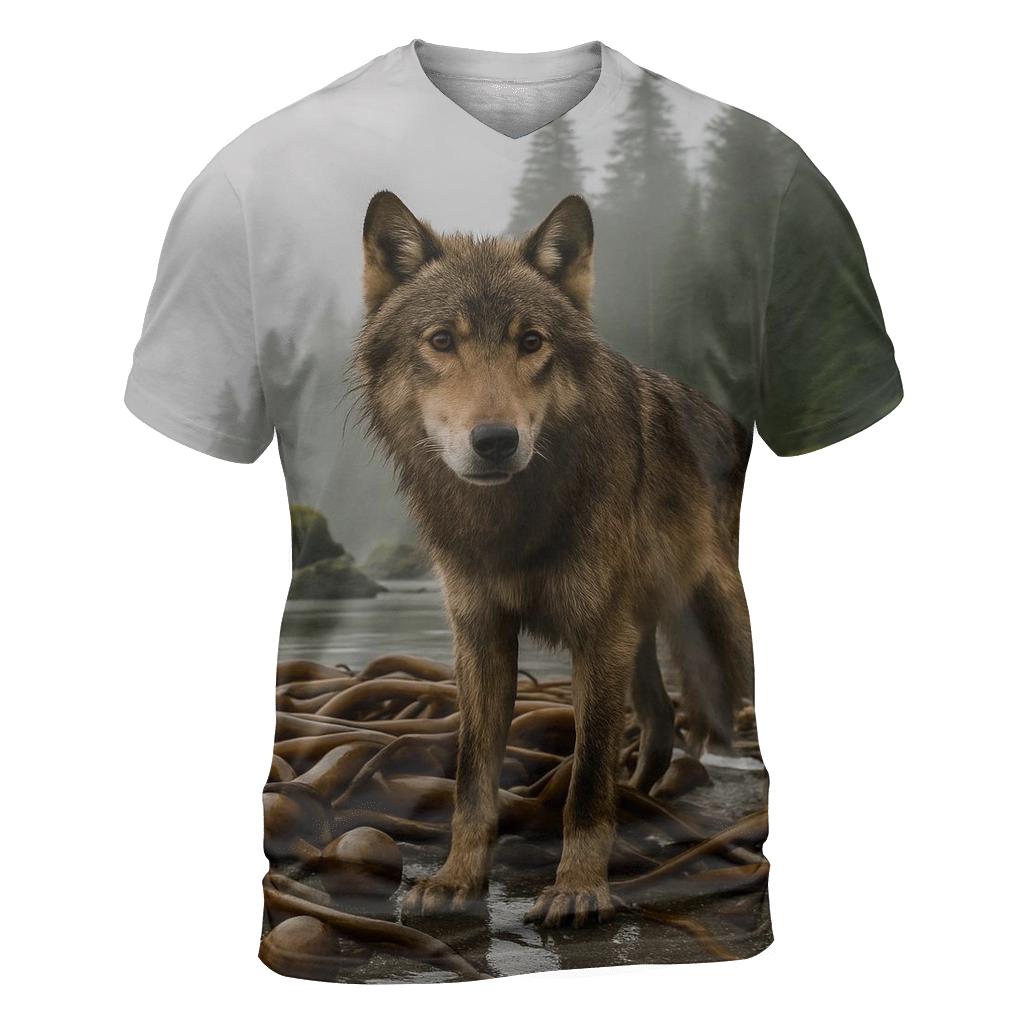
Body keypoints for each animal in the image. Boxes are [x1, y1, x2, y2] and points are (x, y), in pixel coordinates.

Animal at [351, 191, 753, 928]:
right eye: (442, 341)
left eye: (531, 342)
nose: (495, 441)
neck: (512, 520)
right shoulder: (481, 638)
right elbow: (472, 779)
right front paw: (457, 880)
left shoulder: (597, 638)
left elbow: (589, 780)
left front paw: (580, 887)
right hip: (639, 637)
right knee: (659, 720)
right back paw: (649, 798)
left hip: (712, 626)